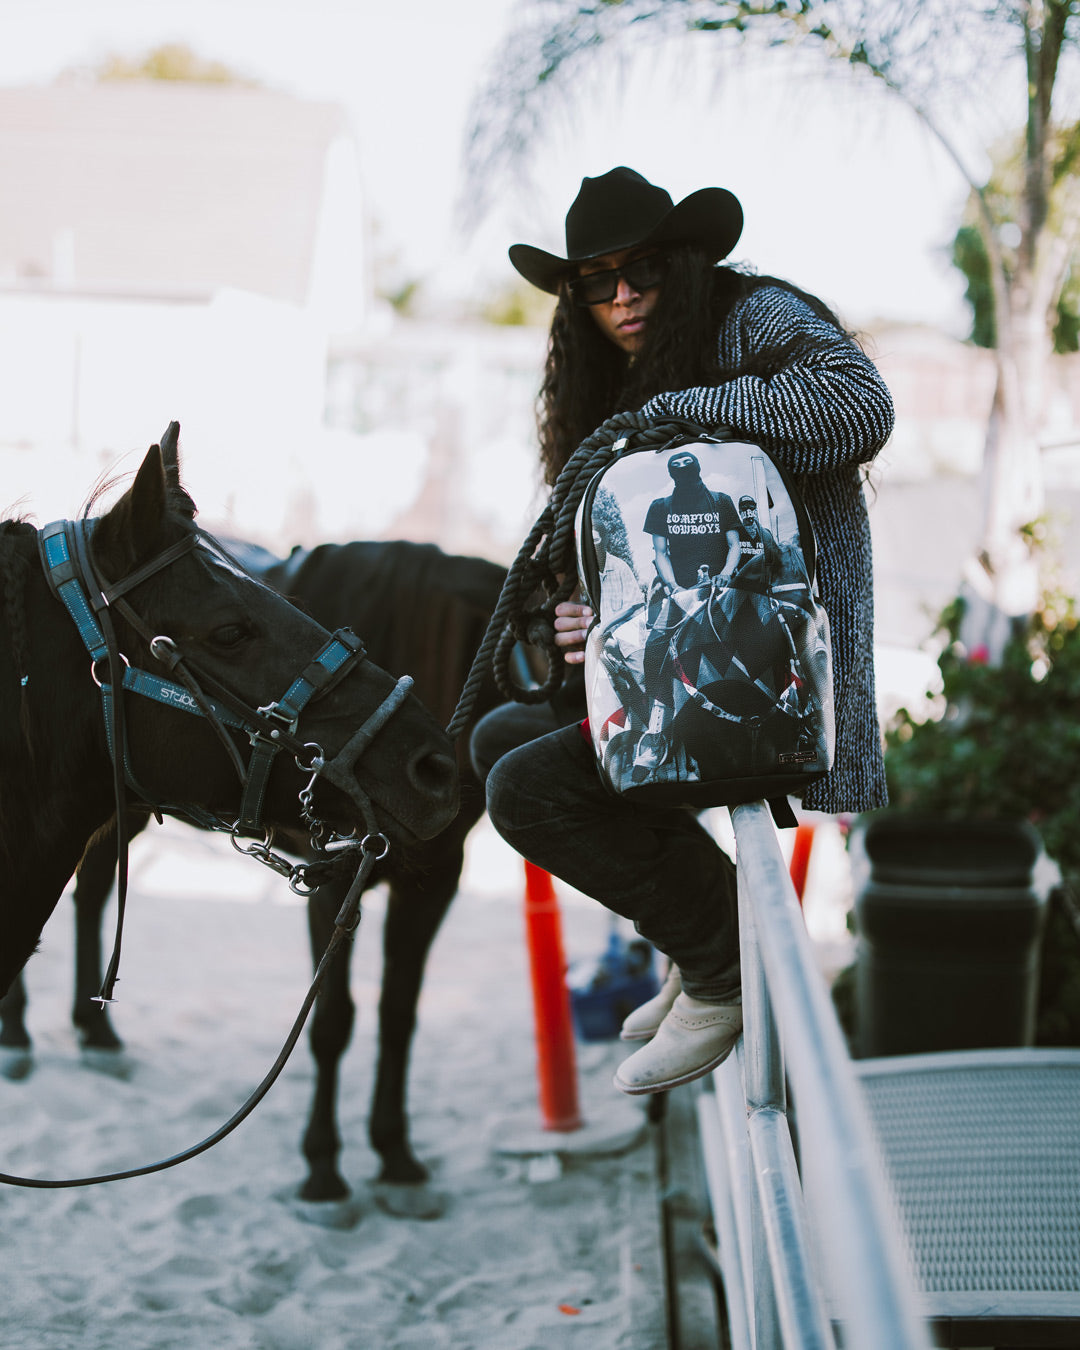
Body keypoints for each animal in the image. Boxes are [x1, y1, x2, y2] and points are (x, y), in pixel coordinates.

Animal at [1, 531, 510, 1220]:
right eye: (228, 632)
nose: (434, 770)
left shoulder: (433, 883)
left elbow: (398, 1015)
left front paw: (396, 1157)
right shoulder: (333, 881)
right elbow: (333, 1020)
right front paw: (324, 1169)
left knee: (93, 892)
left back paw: (97, 1032)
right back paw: (18, 1033)